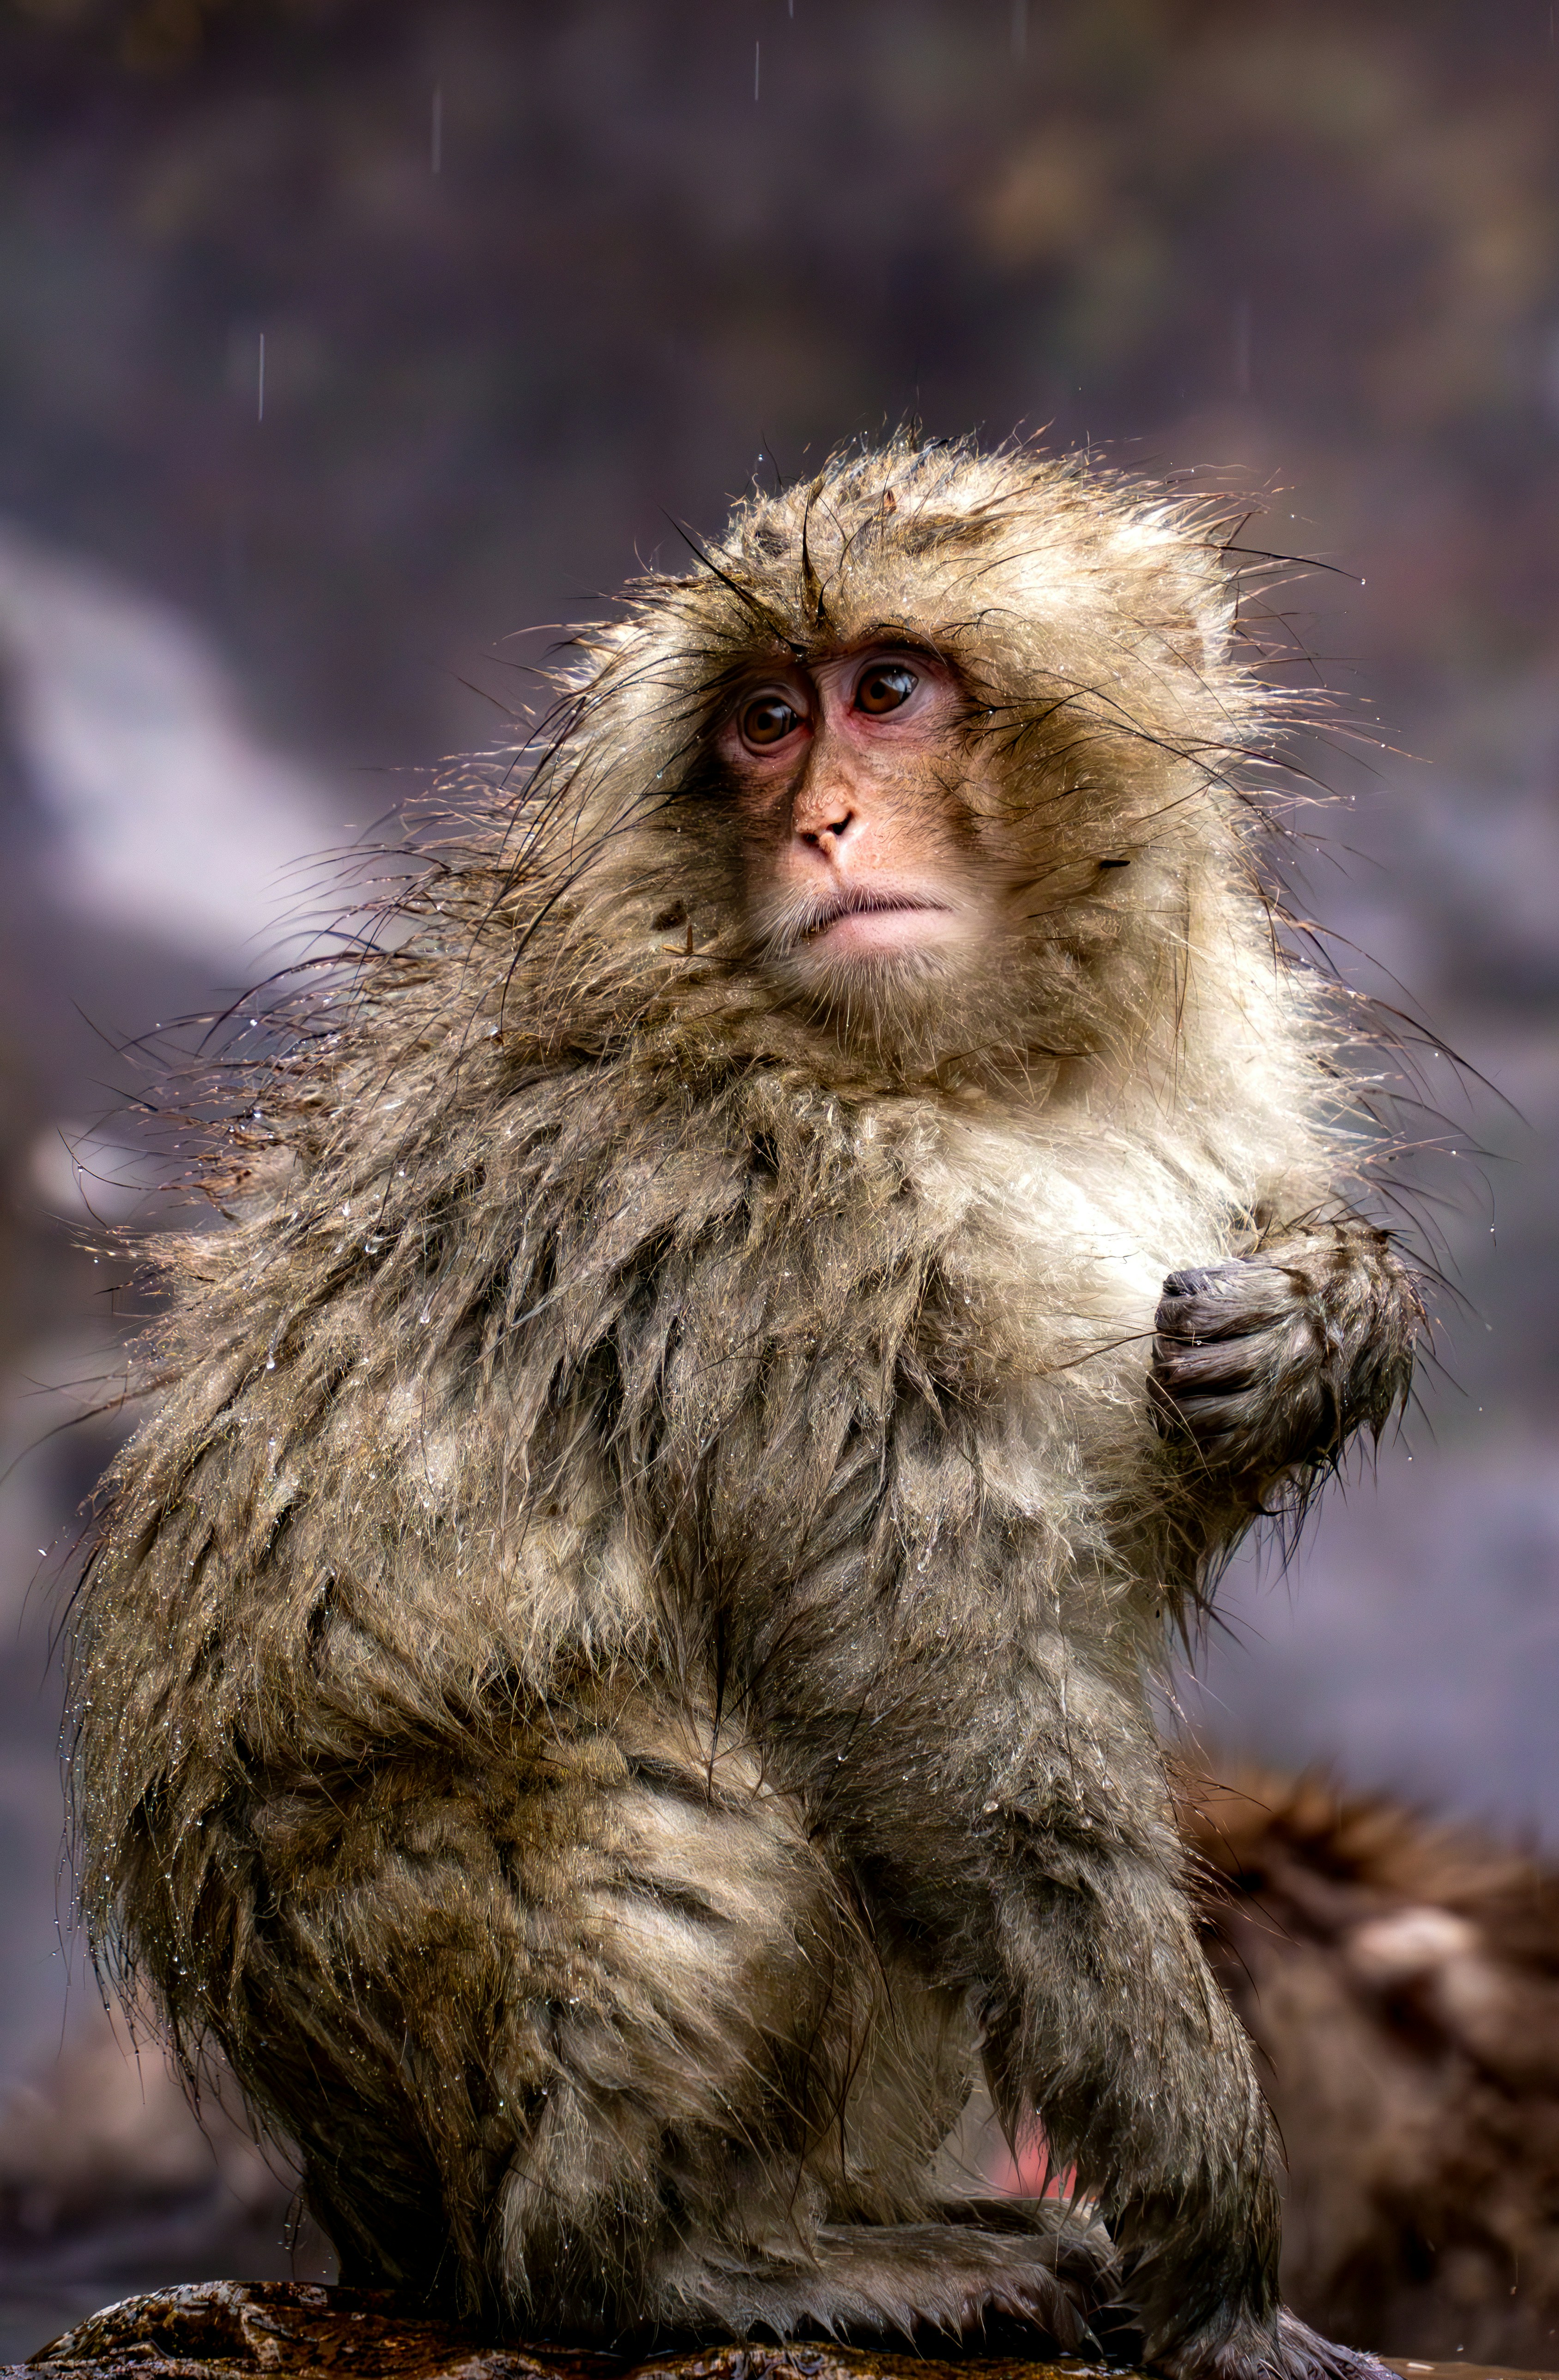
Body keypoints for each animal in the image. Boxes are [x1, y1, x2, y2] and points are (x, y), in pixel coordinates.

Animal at [70, 435, 1422, 2377]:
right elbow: (970, 1729)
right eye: (765, 723)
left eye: (887, 691)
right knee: (688, 1830)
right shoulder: (780, 1231)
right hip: (393, 1980)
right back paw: (685, 2262)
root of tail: (364, 2207)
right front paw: (1225, 2270)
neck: (985, 1067)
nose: (824, 824)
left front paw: (1329, 1314)